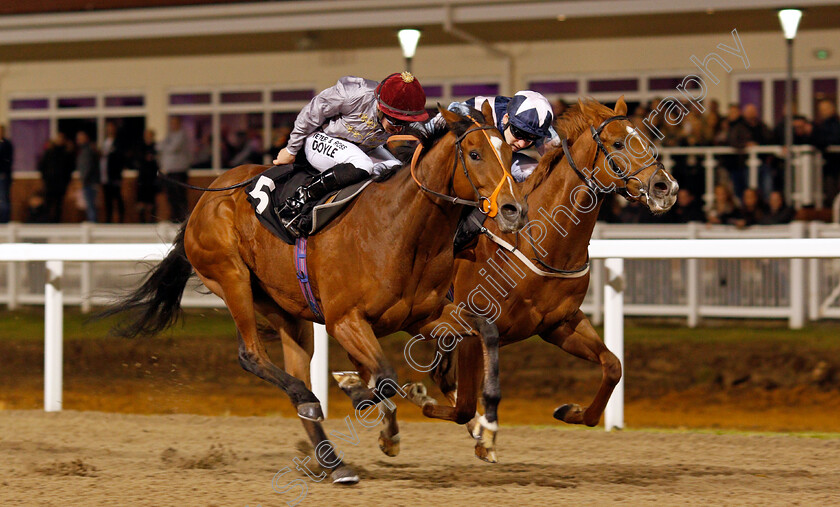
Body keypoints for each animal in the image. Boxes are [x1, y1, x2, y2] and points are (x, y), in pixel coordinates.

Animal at [103, 102, 524, 484]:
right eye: (474, 154)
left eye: (511, 154)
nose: (512, 209)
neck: (401, 227)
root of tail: (205, 198)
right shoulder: (345, 320)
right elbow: (385, 378)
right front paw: (361, 397)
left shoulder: (424, 315)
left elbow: (485, 331)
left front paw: (487, 428)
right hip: (231, 277)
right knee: (252, 356)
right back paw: (312, 407)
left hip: (286, 310)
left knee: (295, 370)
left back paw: (333, 461)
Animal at [358, 95, 680, 456]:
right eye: (617, 143)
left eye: (646, 140)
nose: (666, 187)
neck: (541, 243)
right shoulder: (475, 329)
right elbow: (463, 405)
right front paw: (441, 411)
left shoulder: (560, 324)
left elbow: (613, 366)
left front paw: (572, 411)